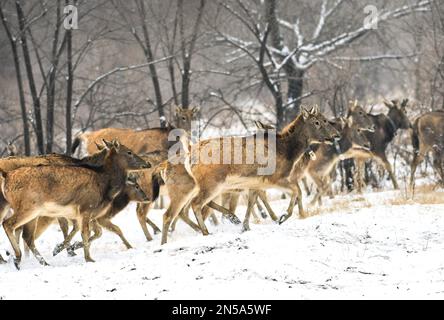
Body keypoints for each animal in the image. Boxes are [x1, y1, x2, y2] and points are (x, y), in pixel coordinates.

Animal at [0, 140, 150, 268]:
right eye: (129, 152)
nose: (147, 163)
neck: (105, 184)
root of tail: (6, 176)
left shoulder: (81, 214)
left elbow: (91, 231)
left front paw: (66, 249)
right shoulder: (86, 208)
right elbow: (84, 232)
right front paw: (88, 258)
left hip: (33, 213)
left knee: (27, 236)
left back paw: (41, 262)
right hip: (28, 207)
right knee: (8, 224)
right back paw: (17, 257)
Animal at [154, 106, 342, 244]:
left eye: (325, 120)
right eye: (317, 121)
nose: (336, 135)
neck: (287, 152)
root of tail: (191, 154)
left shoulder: (255, 183)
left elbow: (252, 202)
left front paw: (246, 226)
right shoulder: (274, 177)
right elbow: (297, 191)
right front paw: (282, 217)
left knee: (182, 210)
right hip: (210, 184)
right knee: (190, 207)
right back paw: (203, 233)